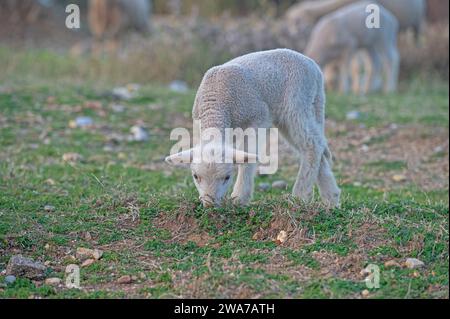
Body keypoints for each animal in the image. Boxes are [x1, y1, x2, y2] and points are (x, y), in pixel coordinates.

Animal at [166, 48, 342, 210]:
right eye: (195, 176)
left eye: (227, 177)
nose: (210, 204)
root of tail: (314, 68)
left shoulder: (258, 116)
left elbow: (249, 156)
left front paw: (239, 198)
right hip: (306, 107)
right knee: (318, 144)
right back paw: (331, 198)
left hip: (296, 104)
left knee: (312, 145)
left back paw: (301, 195)